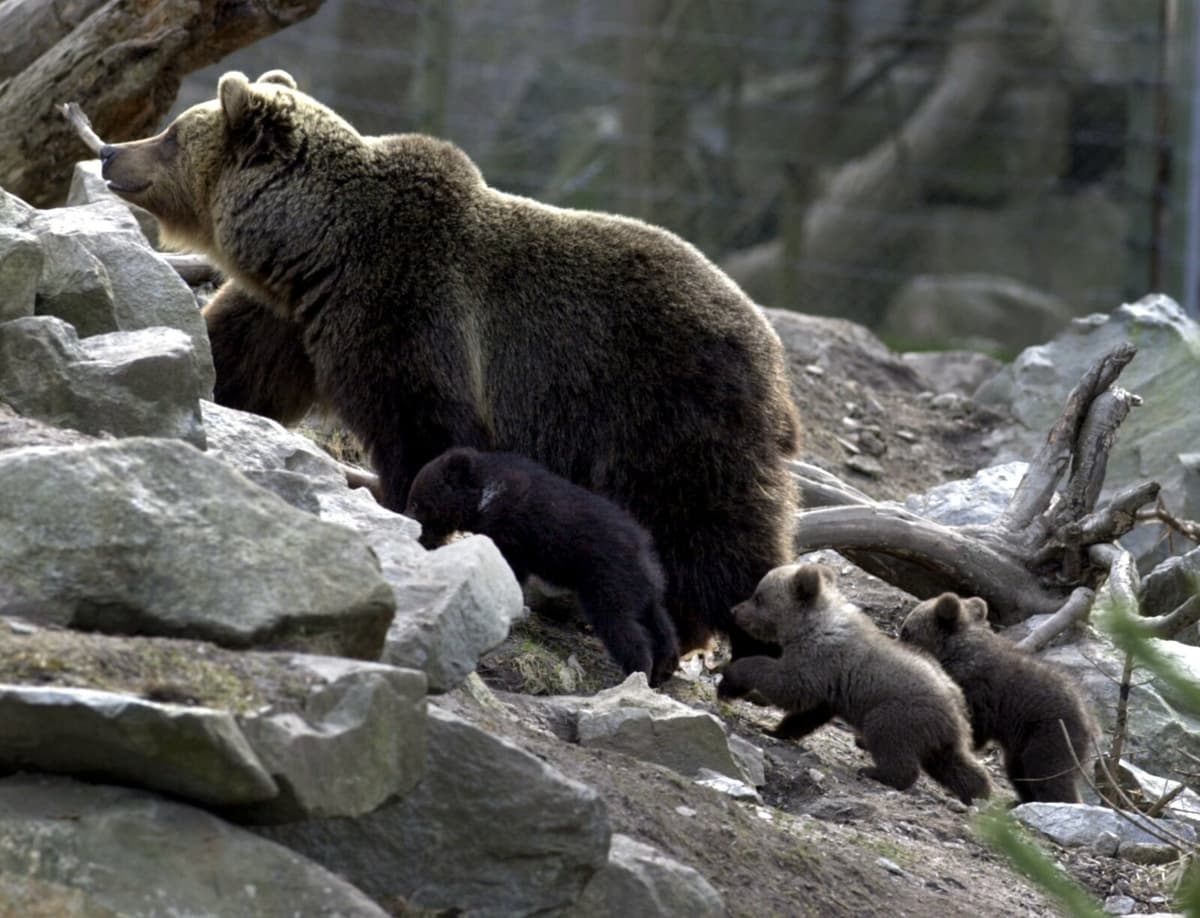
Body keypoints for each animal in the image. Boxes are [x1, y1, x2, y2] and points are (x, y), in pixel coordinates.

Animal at [405, 447, 679, 685]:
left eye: (417, 504)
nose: (415, 530)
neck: (485, 495)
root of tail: (643, 553)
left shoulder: (510, 529)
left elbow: (511, 567)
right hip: (644, 588)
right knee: (659, 622)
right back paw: (665, 666)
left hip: (607, 581)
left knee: (622, 626)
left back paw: (637, 671)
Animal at [718, 563, 991, 804]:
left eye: (758, 597)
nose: (734, 610)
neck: (809, 626)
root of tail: (956, 712)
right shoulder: (828, 685)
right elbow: (808, 714)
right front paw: (774, 729)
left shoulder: (820, 660)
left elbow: (787, 686)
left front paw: (730, 679)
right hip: (939, 736)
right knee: (954, 764)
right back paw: (980, 793)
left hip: (899, 714)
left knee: (890, 742)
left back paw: (876, 772)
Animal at [899, 592, 1098, 803]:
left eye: (906, 630)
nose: (898, 639)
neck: (954, 650)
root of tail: (1091, 724)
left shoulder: (976, 689)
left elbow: (972, 724)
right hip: (1021, 746)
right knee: (1019, 772)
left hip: (1051, 732)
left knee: (1048, 773)